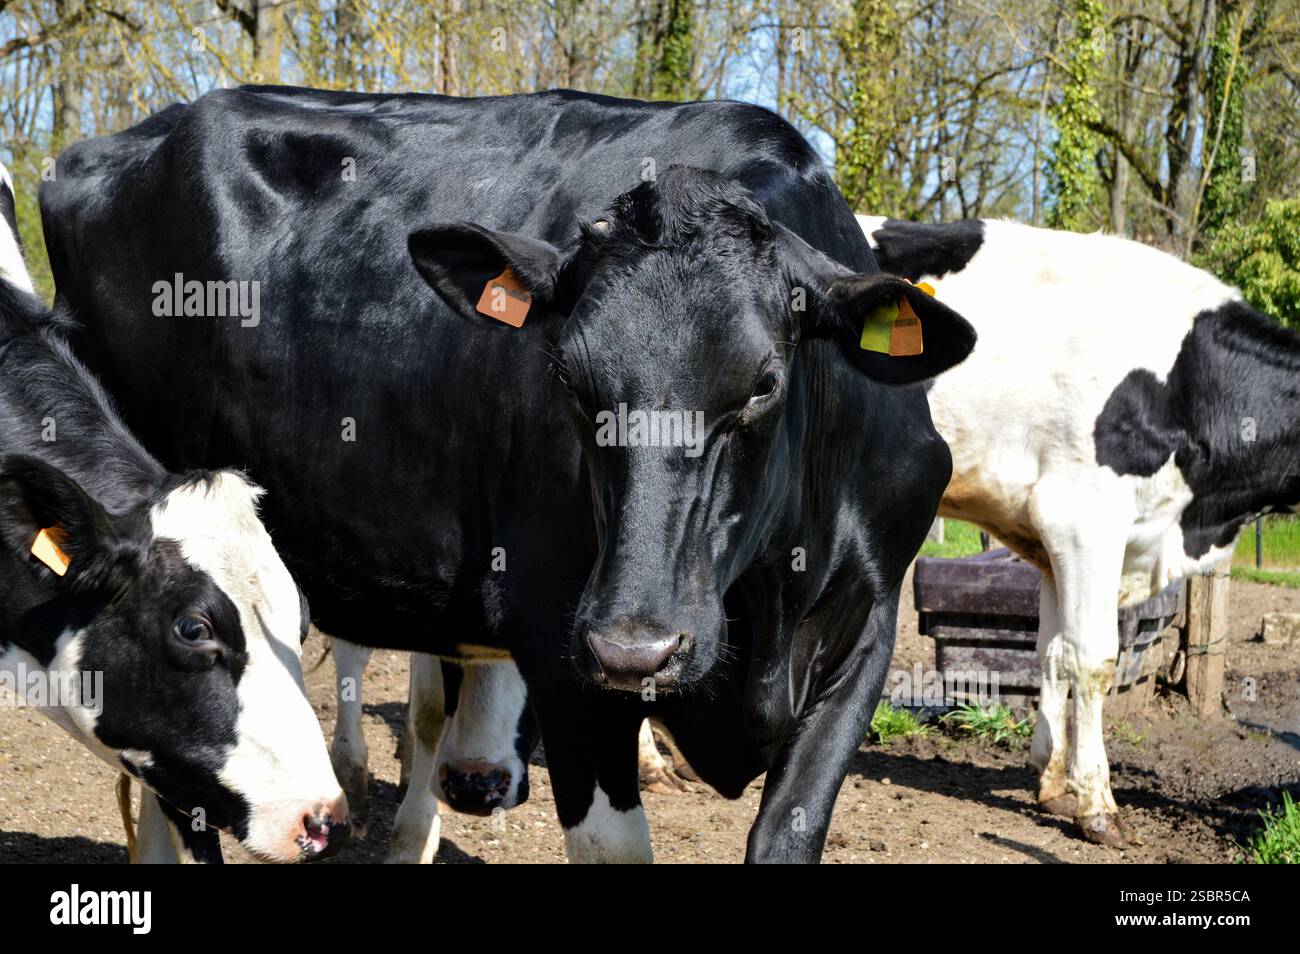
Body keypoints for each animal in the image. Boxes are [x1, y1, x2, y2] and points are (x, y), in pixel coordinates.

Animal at [41, 86, 976, 863]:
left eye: (763, 384)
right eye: (568, 376)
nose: (635, 648)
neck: (771, 601)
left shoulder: (864, 642)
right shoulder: (563, 649)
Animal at [858, 214, 1300, 846]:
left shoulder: (1052, 540)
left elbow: (1050, 651)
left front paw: (1049, 777)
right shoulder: (1083, 518)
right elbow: (1093, 658)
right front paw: (1096, 803)